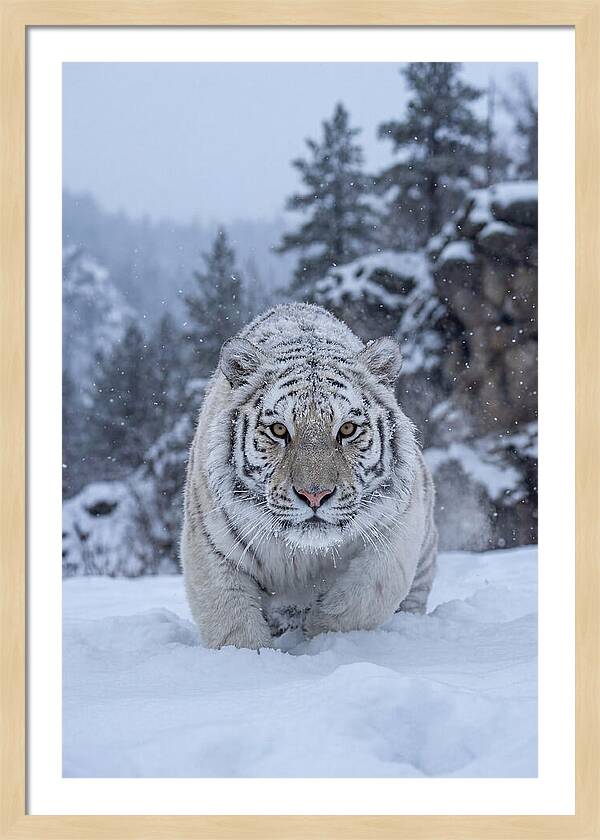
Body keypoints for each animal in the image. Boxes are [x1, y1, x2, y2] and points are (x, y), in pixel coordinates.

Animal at [181, 303, 437, 650]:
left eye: (347, 429)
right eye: (279, 430)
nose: (314, 495)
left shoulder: (397, 527)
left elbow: (365, 596)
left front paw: (320, 633)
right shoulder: (211, 545)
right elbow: (232, 622)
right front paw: (251, 656)